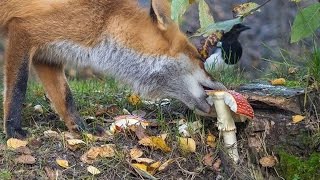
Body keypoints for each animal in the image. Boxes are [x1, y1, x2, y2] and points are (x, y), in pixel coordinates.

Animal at [0, 0, 225, 139]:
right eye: (200, 59)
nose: (223, 86)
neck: (104, 20)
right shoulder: (25, 31)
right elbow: (18, 88)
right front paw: (13, 130)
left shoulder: (47, 55)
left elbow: (65, 98)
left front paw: (82, 129)